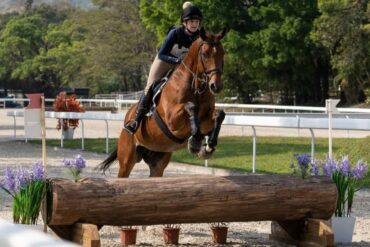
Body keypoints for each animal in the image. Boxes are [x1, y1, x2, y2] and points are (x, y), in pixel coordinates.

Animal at [97, 28, 225, 177]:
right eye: (205, 54)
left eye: (222, 53)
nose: (215, 86)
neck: (196, 88)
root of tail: (127, 118)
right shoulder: (172, 120)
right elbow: (190, 106)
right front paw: (195, 142)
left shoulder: (205, 120)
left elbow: (219, 114)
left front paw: (208, 146)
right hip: (126, 160)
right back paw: (132, 126)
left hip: (157, 163)